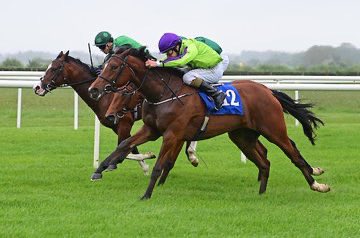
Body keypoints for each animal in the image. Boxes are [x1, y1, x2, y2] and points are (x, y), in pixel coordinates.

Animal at [88, 48, 330, 199]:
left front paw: (147, 194)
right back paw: (261, 193)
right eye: (106, 65)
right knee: (264, 161)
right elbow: (124, 145)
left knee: (293, 152)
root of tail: (268, 90)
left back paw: (317, 184)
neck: (164, 93)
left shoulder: (173, 134)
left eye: (114, 67)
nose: (94, 89)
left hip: (273, 129)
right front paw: (99, 170)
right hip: (243, 136)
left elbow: (159, 165)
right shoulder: (151, 129)